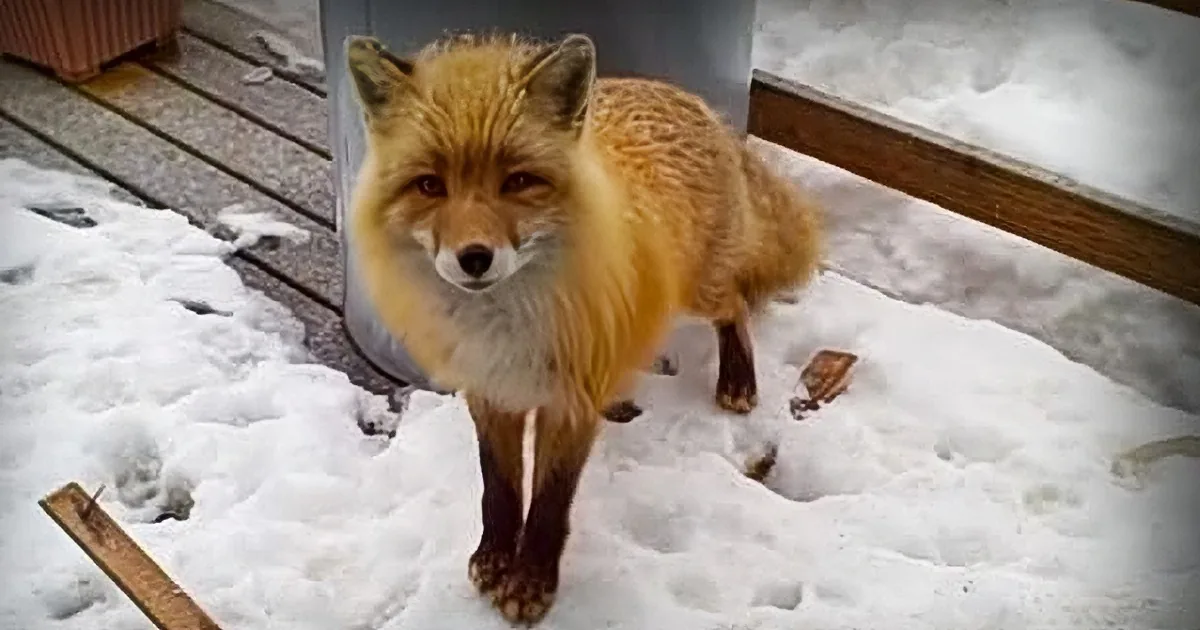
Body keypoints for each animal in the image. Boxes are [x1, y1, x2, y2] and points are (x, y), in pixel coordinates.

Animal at [346, 32, 822, 624]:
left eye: (518, 181)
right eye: (429, 185)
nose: (474, 258)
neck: (508, 325)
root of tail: (685, 97)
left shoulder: (569, 403)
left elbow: (549, 502)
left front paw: (530, 583)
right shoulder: (491, 392)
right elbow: (499, 489)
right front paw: (494, 557)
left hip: (699, 290)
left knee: (735, 303)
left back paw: (737, 378)